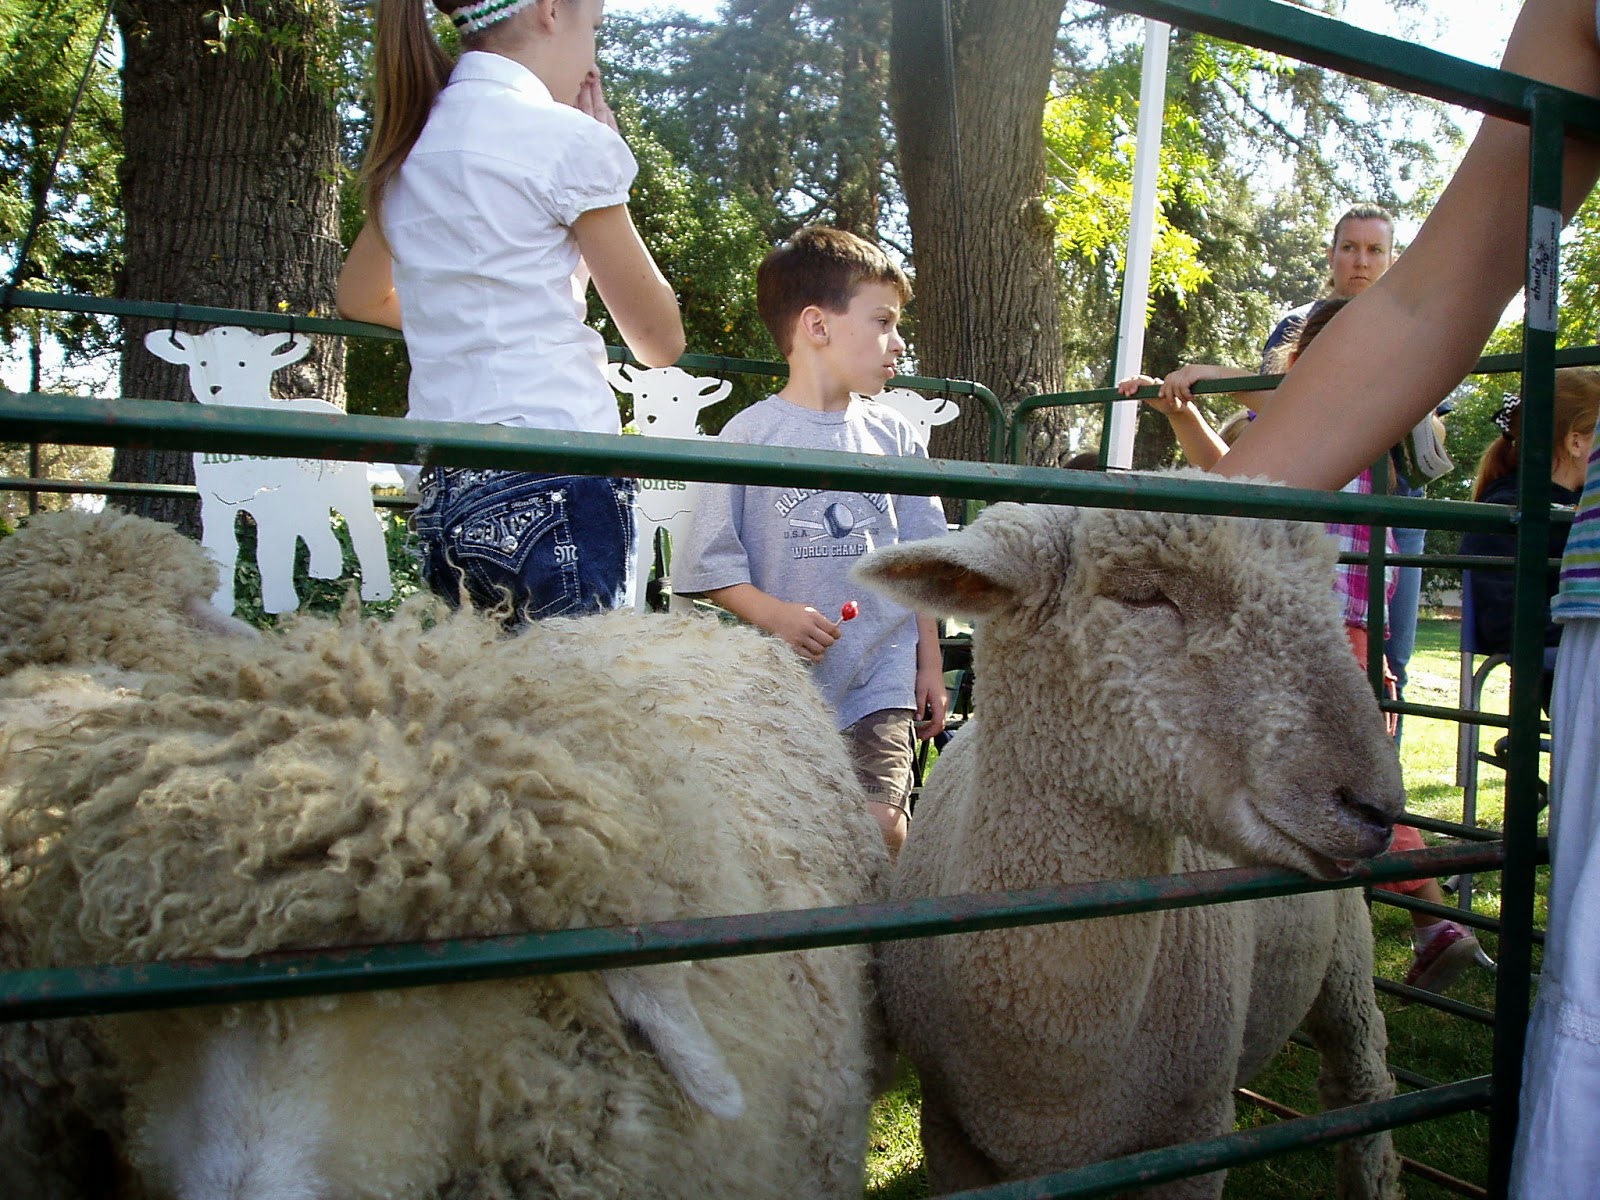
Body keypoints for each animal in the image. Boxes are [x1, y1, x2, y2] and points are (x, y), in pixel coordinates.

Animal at [854, 493, 1405, 1199]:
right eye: (1143, 595)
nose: (1377, 807)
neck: (1055, 1060)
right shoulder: (950, 1131)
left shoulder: (1192, 1137)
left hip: (1348, 960)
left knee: (1360, 1086)